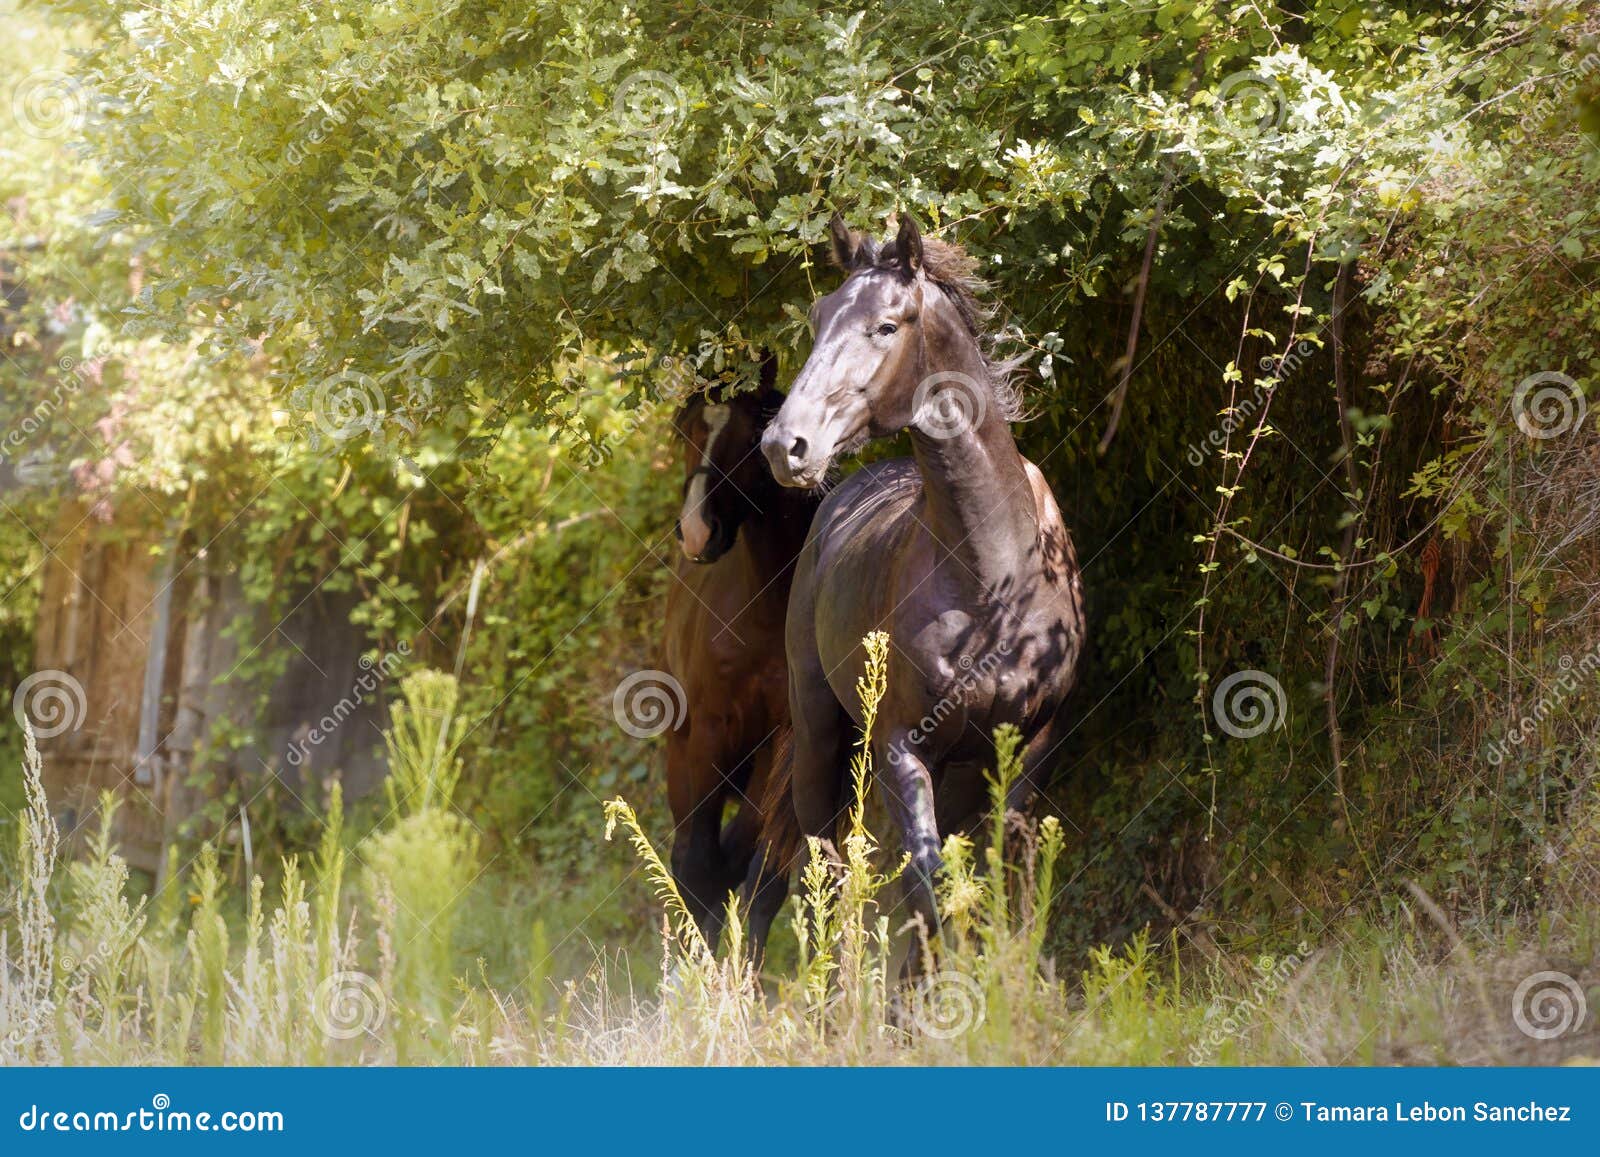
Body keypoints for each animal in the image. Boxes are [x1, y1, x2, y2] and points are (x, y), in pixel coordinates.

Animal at [662, 364, 812, 947]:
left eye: (753, 437)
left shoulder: (788, 743)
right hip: (681, 747)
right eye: (685, 429)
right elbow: (698, 865)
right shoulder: (709, 728)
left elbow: (761, 879)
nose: (697, 531)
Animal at [761, 217, 1088, 947]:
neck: (994, 575)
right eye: (819, 317)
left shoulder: (1029, 747)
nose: (785, 446)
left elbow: (990, 882)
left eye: (886, 325)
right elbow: (929, 890)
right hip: (821, 733)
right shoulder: (902, 749)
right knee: (826, 869)